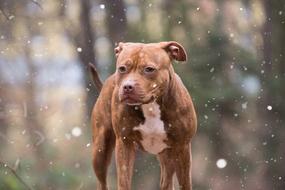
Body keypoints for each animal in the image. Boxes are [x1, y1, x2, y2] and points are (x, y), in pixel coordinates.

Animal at [90, 40, 196, 189]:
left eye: (149, 69)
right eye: (122, 68)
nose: (127, 87)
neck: (150, 106)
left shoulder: (182, 147)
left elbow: (185, 183)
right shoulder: (125, 143)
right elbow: (123, 181)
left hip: (167, 155)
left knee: (167, 180)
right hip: (100, 150)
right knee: (101, 181)